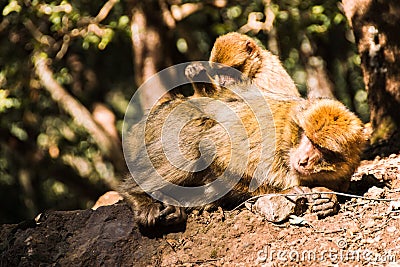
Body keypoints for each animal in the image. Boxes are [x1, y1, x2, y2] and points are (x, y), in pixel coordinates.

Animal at [119, 84, 366, 228]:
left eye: (322, 149)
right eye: (309, 139)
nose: (303, 160)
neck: (288, 140)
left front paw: (327, 198)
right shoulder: (268, 131)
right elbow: (215, 150)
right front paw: (286, 191)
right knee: (194, 134)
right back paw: (136, 194)